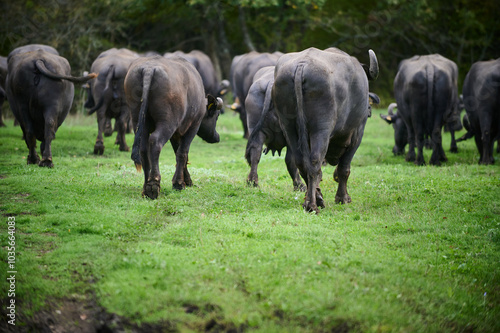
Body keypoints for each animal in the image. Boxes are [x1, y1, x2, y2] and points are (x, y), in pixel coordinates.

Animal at [124, 55, 222, 198]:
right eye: (217, 116)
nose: (217, 137)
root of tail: (149, 69)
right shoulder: (192, 127)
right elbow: (183, 153)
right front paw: (179, 184)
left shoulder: (175, 133)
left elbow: (178, 153)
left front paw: (186, 180)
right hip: (167, 123)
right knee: (155, 141)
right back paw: (153, 184)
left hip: (139, 120)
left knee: (143, 148)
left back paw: (145, 187)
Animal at [272, 46, 376, 213]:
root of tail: (302, 65)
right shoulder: (357, 134)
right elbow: (344, 169)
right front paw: (342, 198)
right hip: (321, 129)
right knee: (315, 161)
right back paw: (312, 205)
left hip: (289, 128)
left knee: (301, 162)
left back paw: (315, 198)